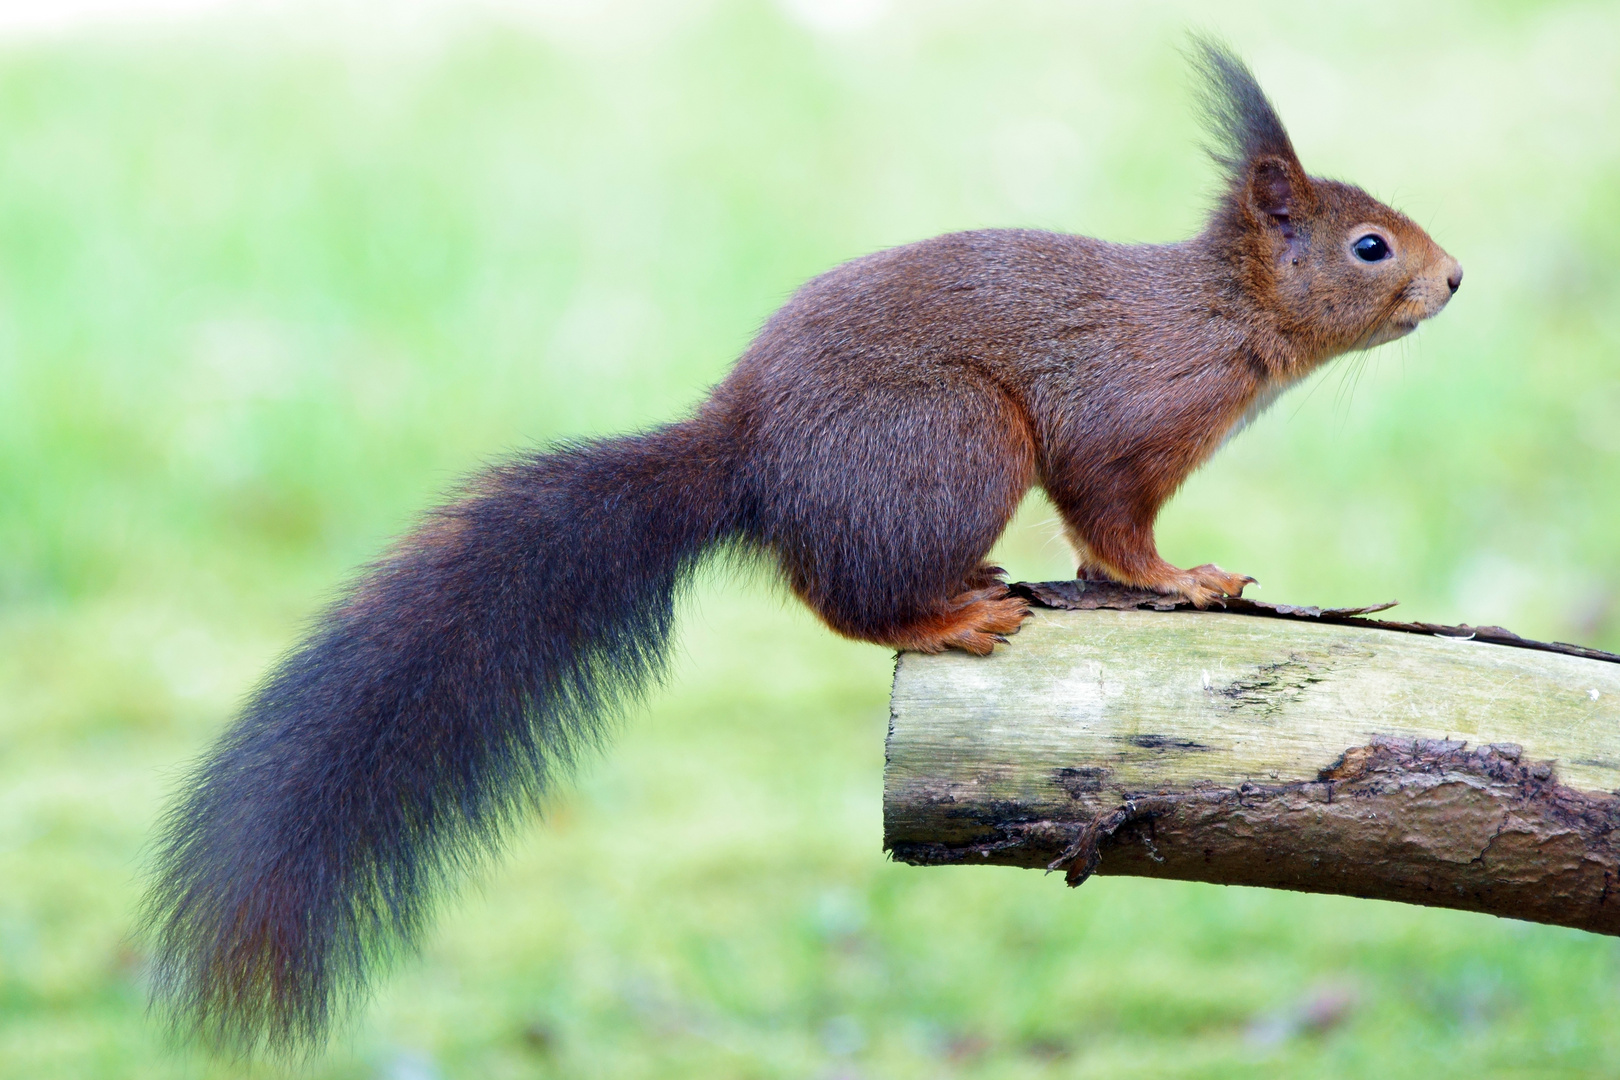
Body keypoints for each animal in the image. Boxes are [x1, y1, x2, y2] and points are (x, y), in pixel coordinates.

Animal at [143, 40, 1462, 1051]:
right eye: (1369, 248)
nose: (1454, 278)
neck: (1226, 317)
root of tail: (748, 454)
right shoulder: (1123, 427)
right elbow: (1112, 521)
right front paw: (1182, 580)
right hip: (959, 440)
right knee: (842, 600)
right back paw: (950, 613)